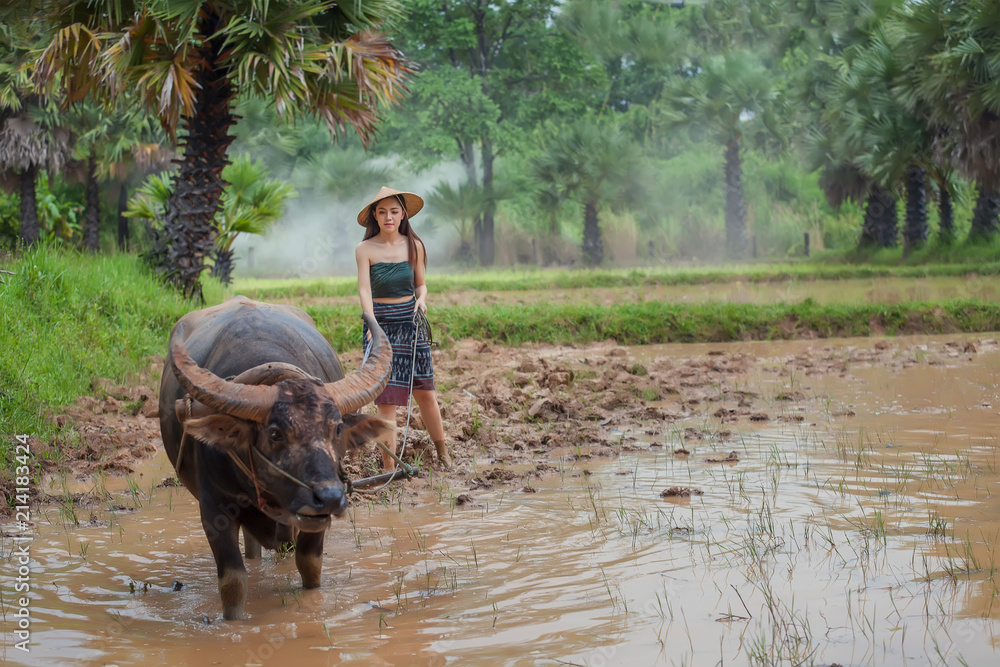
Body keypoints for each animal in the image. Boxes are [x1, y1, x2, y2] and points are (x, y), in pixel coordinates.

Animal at [158, 294, 392, 620]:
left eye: (336, 428)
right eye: (275, 433)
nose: (330, 498)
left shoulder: (311, 523)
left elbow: (309, 564)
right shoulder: (213, 512)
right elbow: (233, 583)